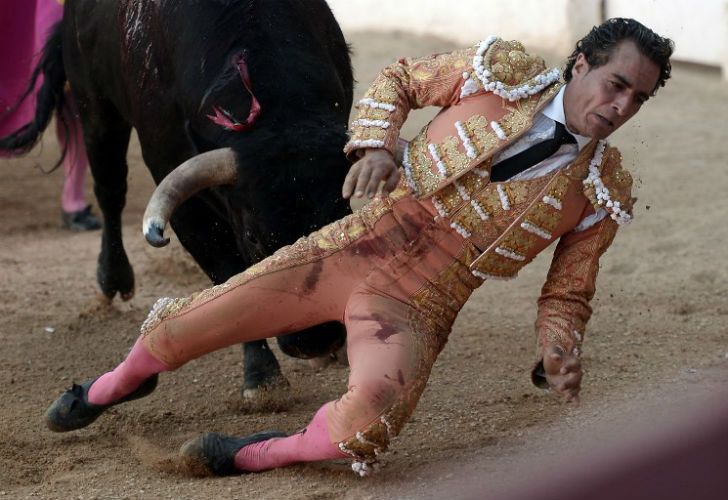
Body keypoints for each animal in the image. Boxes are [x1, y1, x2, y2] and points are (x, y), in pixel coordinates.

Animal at [0, 0, 352, 398]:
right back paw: (112, 279)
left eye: (342, 214)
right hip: (95, 106)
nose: (316, 340)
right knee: (109, 189)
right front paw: (262, 376)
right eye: (253, 237)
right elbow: (227, 274)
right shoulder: (186, 201)